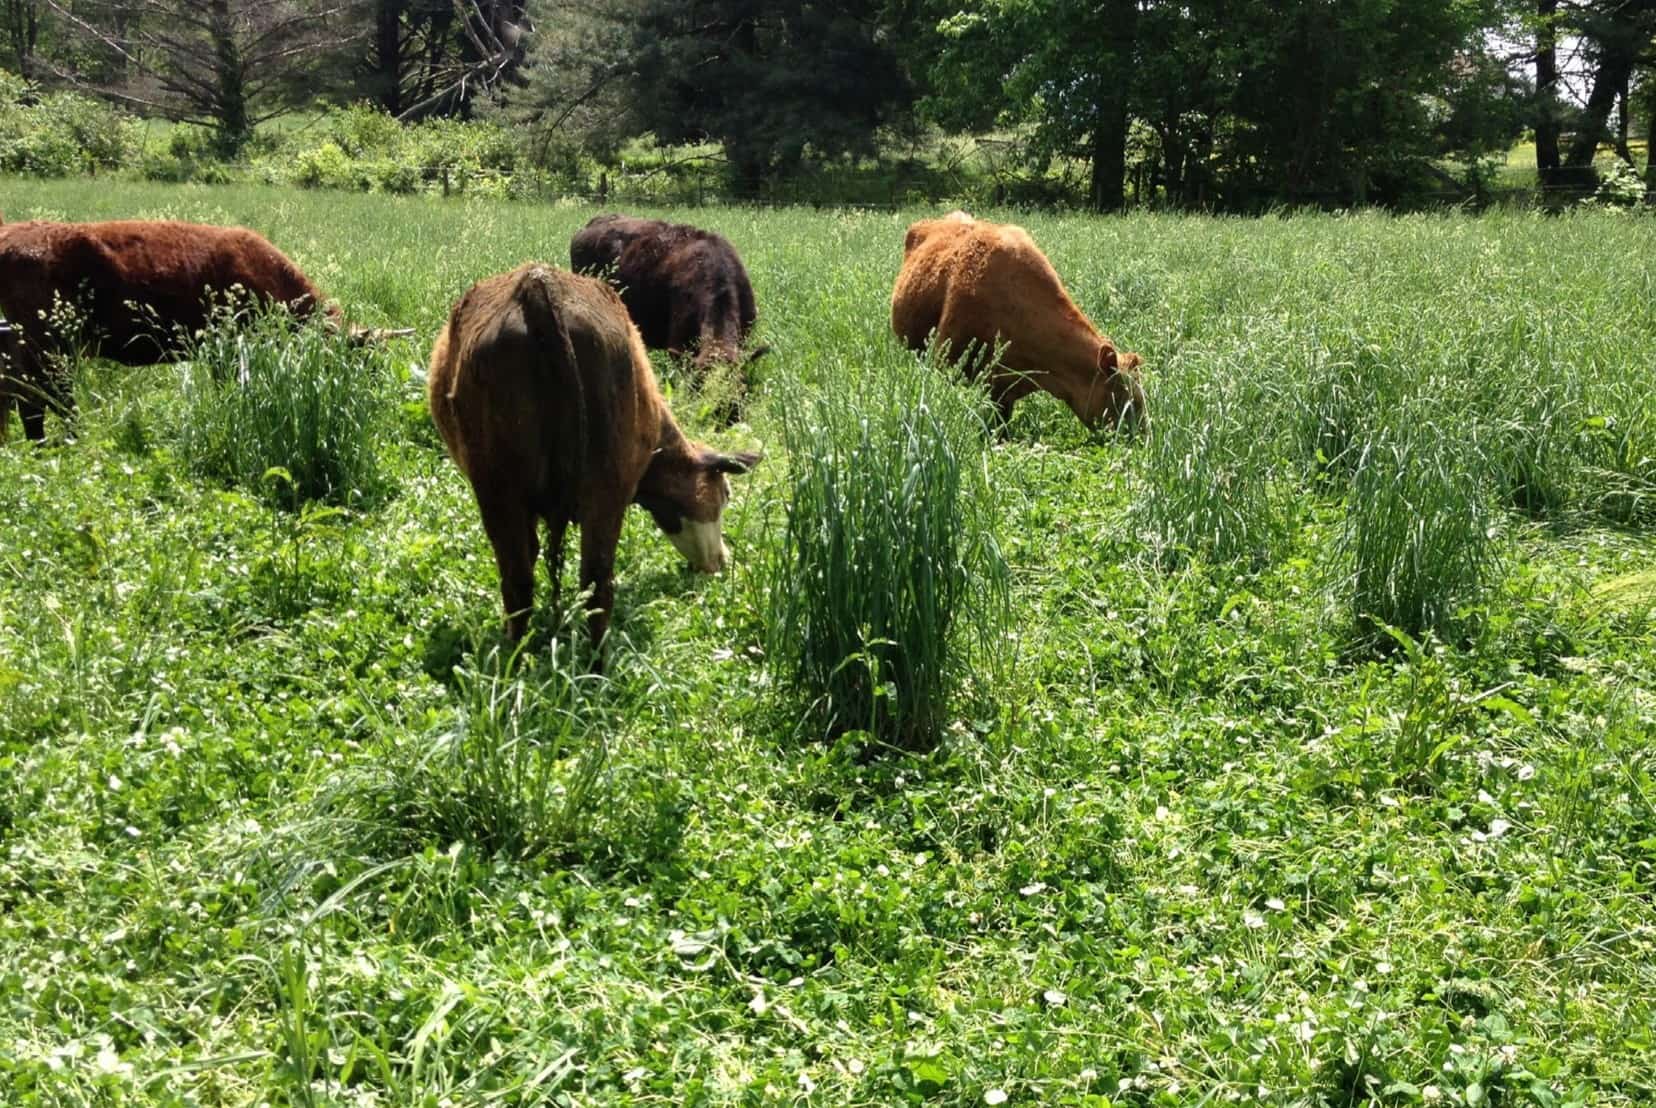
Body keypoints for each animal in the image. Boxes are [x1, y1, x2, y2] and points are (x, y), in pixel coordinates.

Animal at [427, 263, 761, 652]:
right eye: (726, 495)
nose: (720, 560)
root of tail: (537, 287)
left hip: (506, 489)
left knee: (530, 583)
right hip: (590, 489)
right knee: (588, 584)